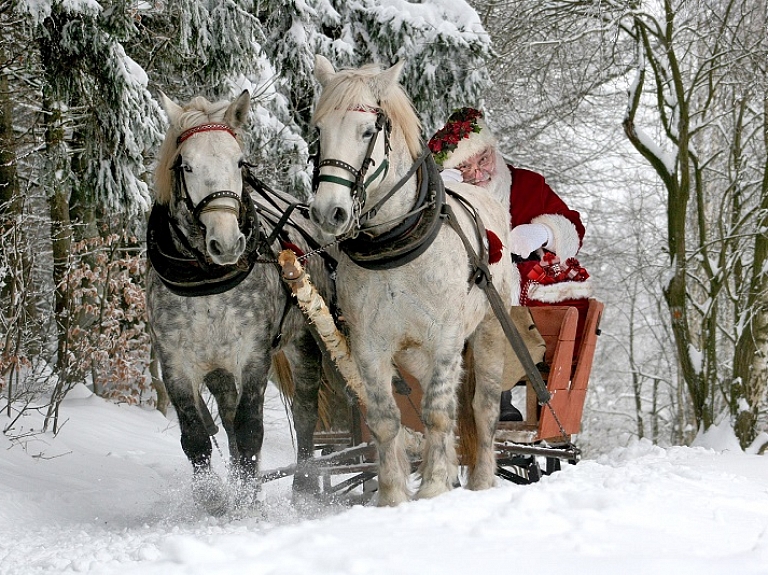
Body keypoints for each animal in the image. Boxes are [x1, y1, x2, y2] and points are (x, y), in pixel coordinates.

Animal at [308, 56, 520, 506]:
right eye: (319, 131)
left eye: (367, 131)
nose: (328, 212)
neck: (395, 244)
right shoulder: (369, 345)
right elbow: (386, 419)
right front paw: (393, 495)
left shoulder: (446, 337)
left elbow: (438, 413)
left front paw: (435, 487)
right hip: (415, 355)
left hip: (490, 331)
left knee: (482, 408)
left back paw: (480, 480)